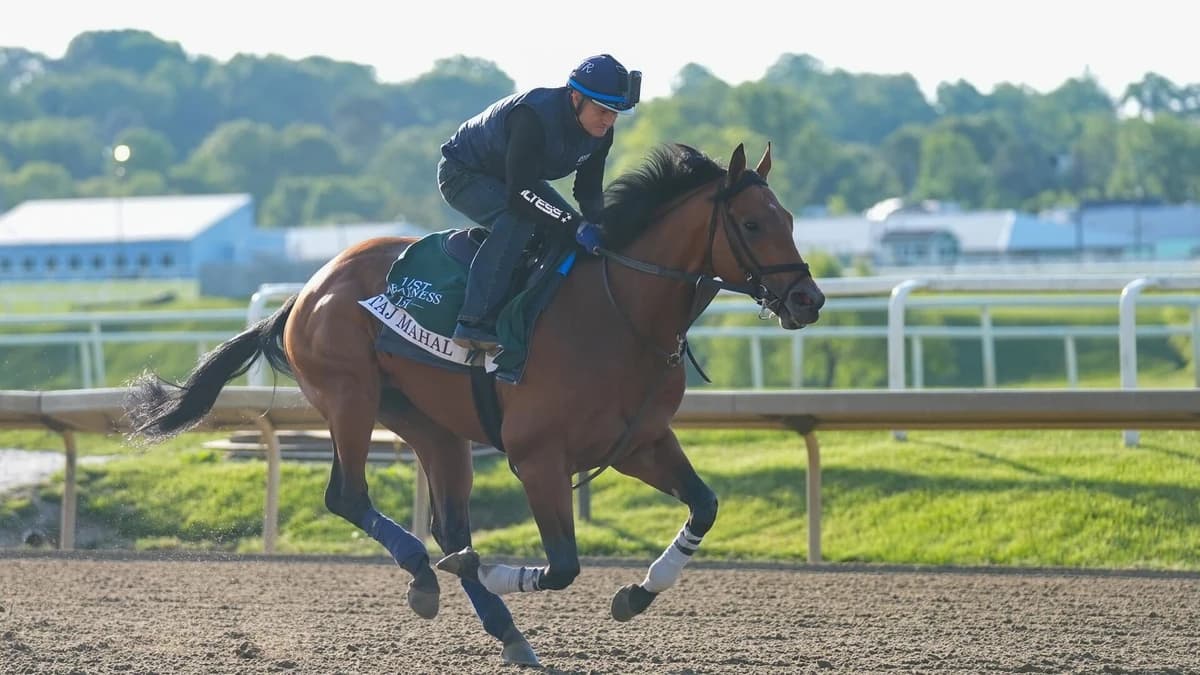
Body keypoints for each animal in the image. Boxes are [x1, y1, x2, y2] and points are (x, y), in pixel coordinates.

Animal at [125, 142, 825, 667]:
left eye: (790, 219)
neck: (618, 311)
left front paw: (636, 593)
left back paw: (503, 628)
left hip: (431, 426)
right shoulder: (537, 458)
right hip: (351, 397)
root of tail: (308, 289)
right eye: (754, 224)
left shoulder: (641, 443)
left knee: (447, 524)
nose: (808, 301)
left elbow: (704, 506)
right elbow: (564, 565)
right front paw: (491, 571)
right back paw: (427, 575)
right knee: (349, 496)